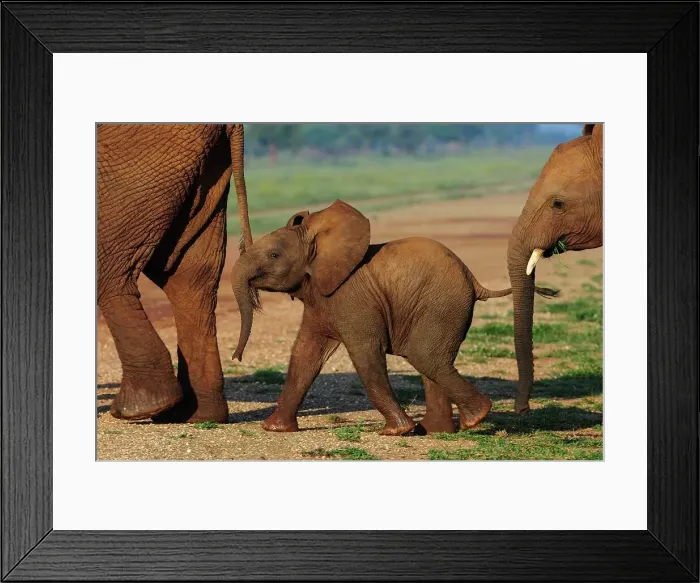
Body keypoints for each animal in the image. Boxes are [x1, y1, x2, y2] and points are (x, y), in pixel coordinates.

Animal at [231, 200, 557, 435]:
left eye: (274, 255)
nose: (236, 357)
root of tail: (474, 281)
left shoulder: (351, 297)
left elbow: (365, 355)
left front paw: (395, 432)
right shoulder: (321, 300)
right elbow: (304, 355)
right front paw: (274, 429)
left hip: (441, 305)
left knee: (425, 357)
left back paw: (474, 419)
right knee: (432, 360)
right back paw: (437, 431)